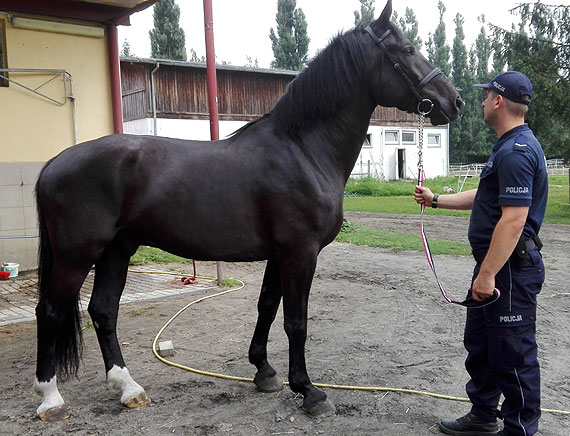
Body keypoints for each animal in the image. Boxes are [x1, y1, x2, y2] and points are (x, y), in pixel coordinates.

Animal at [31, 0, 460, 422]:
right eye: (408, 50)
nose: (453, 101)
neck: (303, 149)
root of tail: (53, 163)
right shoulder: (300, 253)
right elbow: (296, 321)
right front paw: (309, 391)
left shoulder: (278, 254)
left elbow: (267, 308)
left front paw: (264, 372)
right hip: (76, 255)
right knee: (49, 311)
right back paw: (50, 397)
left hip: (116, 251)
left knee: (103, 311)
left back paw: (128, 388)